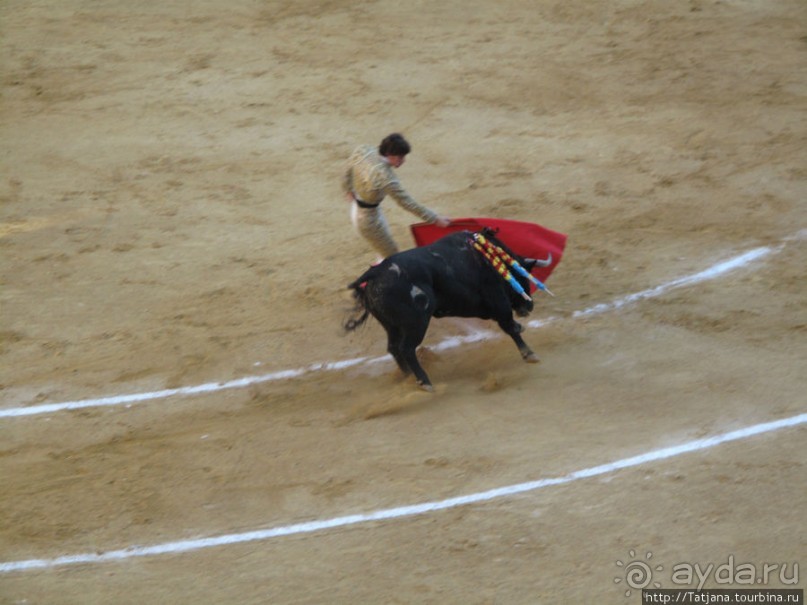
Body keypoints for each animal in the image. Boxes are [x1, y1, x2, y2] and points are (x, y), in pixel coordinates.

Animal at [344, 229, 552, 390]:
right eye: (524, 275)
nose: (529, 306)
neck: (488, 260)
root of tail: (375, 272)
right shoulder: (498, 302)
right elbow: (510, 327)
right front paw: (530, 355)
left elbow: (511, 327)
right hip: (416, 323)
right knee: (406, 348)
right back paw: (425, 382)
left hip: (391, 325)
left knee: (394, 348)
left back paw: (409, 377)